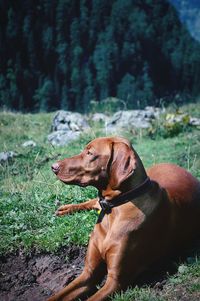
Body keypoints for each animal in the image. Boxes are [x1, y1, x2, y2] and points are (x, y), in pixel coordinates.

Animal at [48, 137, 200, 300]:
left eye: (90, 153)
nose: (53, 166)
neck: (115, 208)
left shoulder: (115, 281)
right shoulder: (88, 273)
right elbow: (56, 296)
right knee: (93, 202)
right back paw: (65, 208)